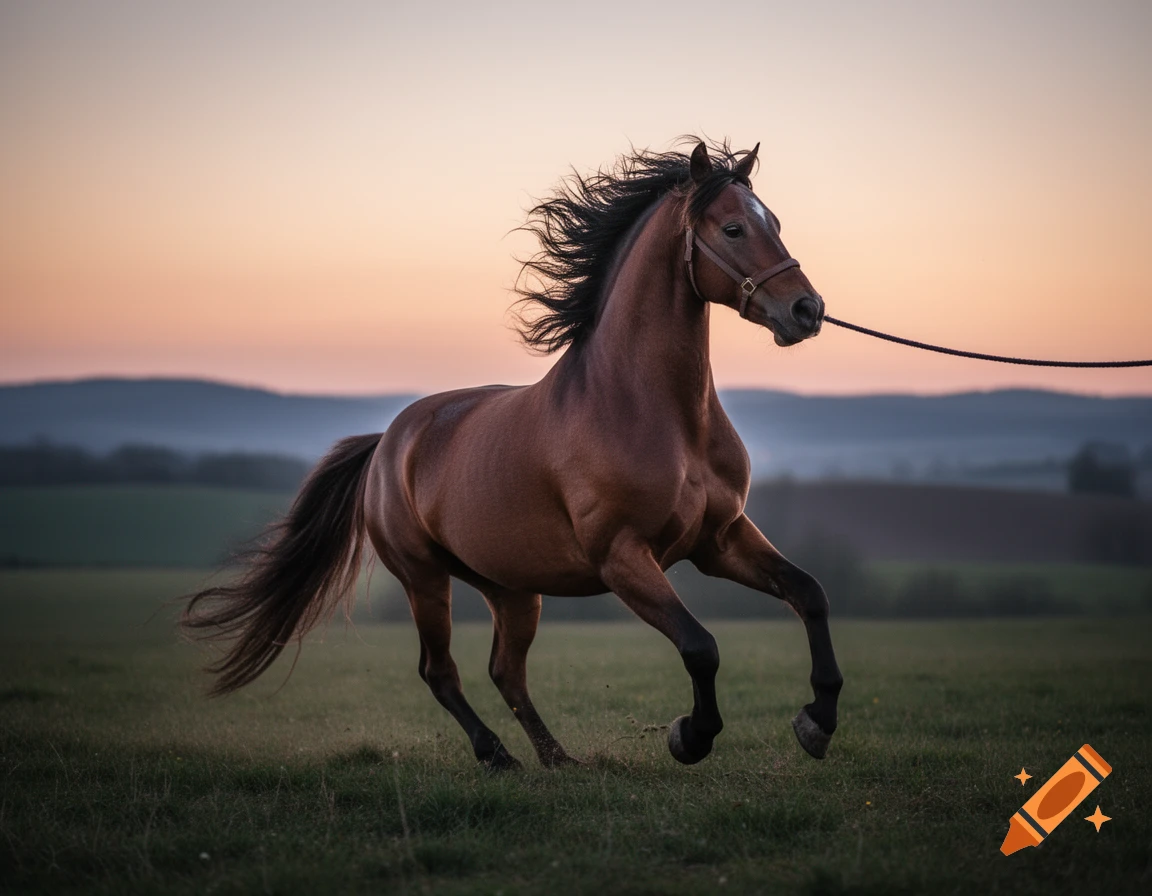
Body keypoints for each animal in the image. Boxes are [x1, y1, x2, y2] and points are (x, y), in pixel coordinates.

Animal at [182, 139, 844, 770]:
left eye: (774, 221)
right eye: (733, 228)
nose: (806, 310)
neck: (660, 414)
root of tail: (387, 443)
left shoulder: (719, 539)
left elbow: (809, 592)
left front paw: (817, 722)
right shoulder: (624, 556)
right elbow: (700, 646)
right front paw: (691, 737)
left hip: (512, 588)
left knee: (506, 671)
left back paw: (558, 759)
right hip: (424, 578)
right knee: (440, 672)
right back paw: (497, 755)